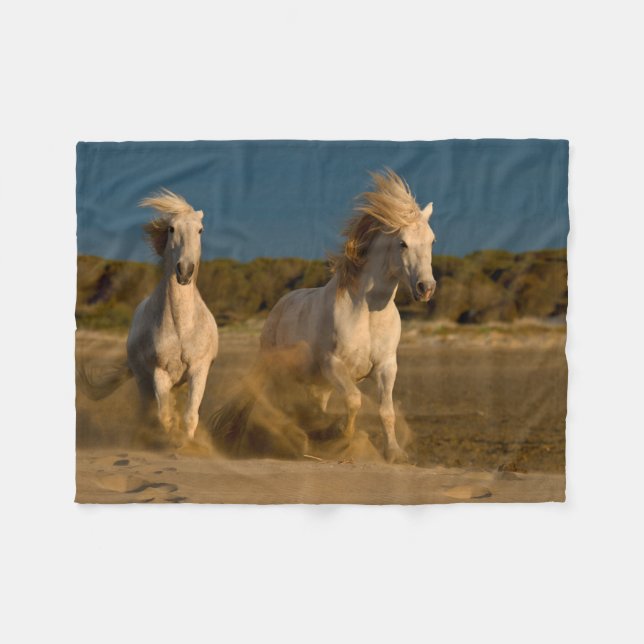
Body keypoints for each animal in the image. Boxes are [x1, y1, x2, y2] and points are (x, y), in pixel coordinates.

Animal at [78, 189, 219, 442]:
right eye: (171, 228)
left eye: (200, 230)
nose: (185, 271)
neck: (182, 327)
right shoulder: (159, 373)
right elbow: (164, 417)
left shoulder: (198, 370)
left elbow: (190, 415)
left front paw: (187, 444)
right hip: (143, 380)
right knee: (147, 412)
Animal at [210, 169, 436, 463]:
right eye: (402, 243)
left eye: (432, 240)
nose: (426, 288)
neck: (367, 313)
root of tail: (280, 305)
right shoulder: (333, 365)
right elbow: (354, 400)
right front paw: (337, 435)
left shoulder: (386, 366)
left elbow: (386, 411)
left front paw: (395, 453)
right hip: (281, 371)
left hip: (317, 385)